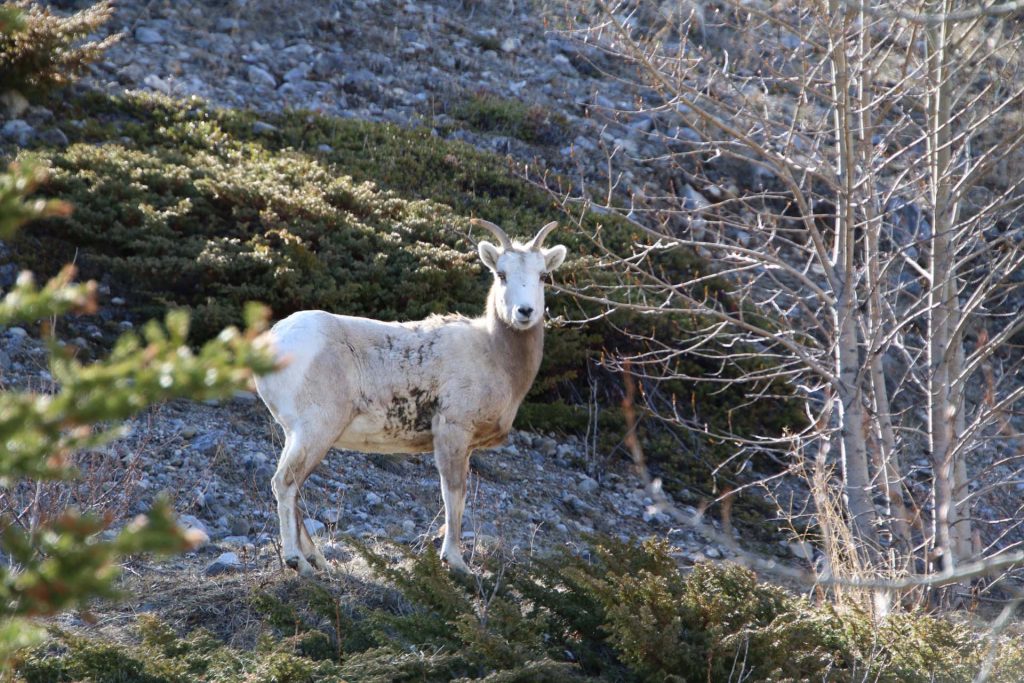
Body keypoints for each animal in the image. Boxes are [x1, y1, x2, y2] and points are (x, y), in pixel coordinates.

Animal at [251, 218, 565, 573]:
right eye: (501, 274)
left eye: (542, 275)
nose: (524, 312)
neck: (492, 352)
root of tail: (269, 344)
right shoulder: (452, 432)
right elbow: (453, 496)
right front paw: (456, 562)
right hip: (316, 428)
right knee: (285, 482)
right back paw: (297, 562)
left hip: (298, 434)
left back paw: (321, 562)